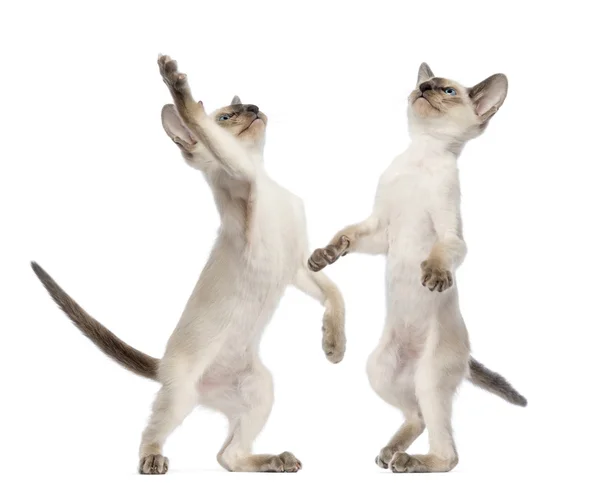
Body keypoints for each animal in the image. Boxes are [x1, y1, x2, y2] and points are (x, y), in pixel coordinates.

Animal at [30, 54, 344, 474]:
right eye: (226, 117)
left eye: (247, 107)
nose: (254, 108)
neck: (265, 177)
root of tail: (166, 366)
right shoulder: (240, 177)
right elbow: (200, 122)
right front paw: (175, 81)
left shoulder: (295, 267)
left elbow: (334, 294)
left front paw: (334, 345)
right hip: (179, 398)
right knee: (156, 432)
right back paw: (153, 460)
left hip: (259, 390)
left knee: (228, 456)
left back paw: (277, 460)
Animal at [312, 62, 528, 474]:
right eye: (426, 84)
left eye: (447, 92)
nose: (425, 88)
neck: (420, 159)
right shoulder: (379, 231)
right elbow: (347, 235)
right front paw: (325, 255)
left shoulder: (450, 233)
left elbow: (443, 252)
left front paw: (435, 275)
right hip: (380, 368)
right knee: (418, 417)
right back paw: (390, 453)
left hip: (430, 378)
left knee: (448, 453)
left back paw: (409, 461)